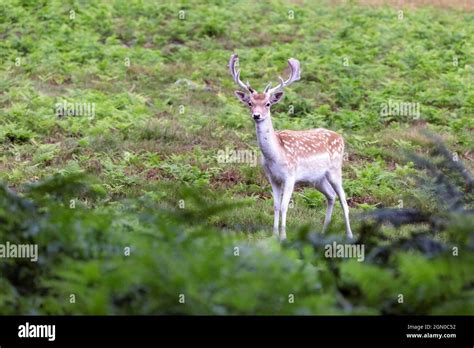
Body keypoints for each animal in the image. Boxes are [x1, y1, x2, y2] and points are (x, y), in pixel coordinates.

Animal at [230, 53, 352, 241]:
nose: (256, 115)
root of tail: (340, 137)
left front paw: (283, 236)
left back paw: (350, 235)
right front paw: (274, 235)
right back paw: (323, 232)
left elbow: (284, 206)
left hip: (335, 170)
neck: (276, 156)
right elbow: (275, 206)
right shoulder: (272, 177)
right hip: (317, 179)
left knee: (344, 201)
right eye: (250, 103)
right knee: (331, 196)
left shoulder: (290, 176)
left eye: (268, 104)